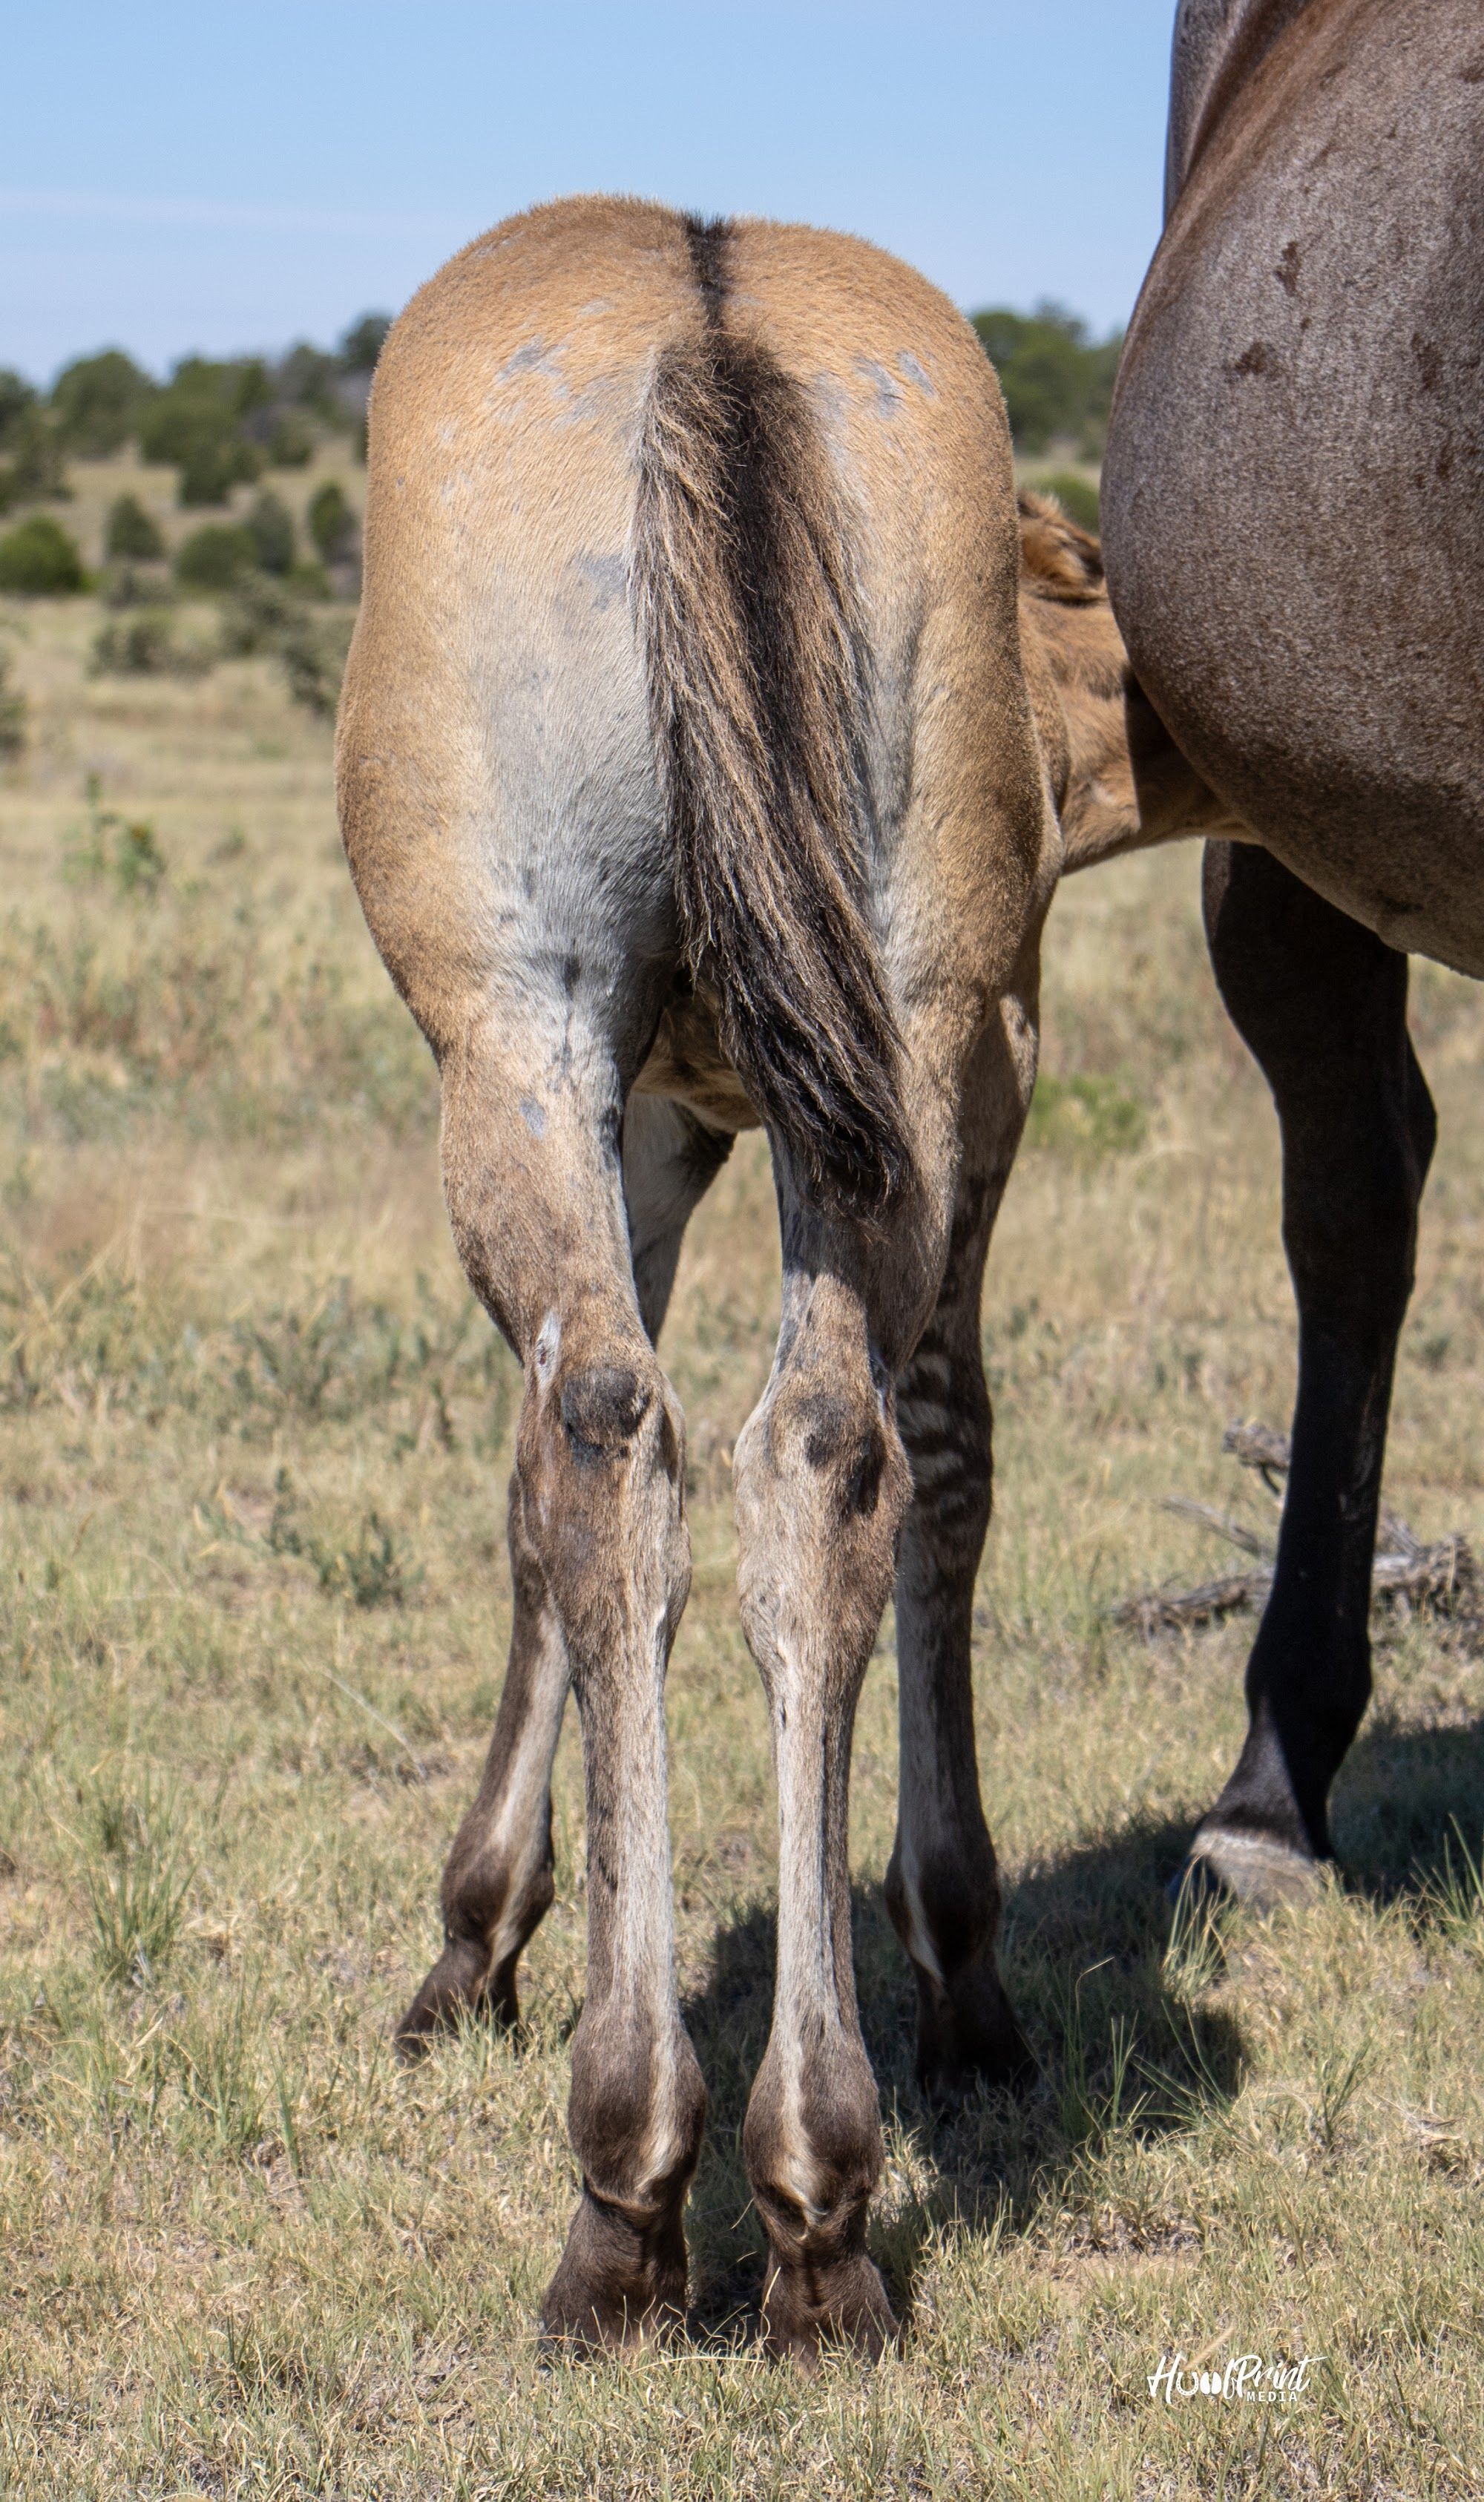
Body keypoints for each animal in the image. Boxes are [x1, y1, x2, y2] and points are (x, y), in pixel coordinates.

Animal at [337, 193, 1178, 2356]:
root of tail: (710, 308)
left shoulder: (648, 1095)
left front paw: (476, 1931)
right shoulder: (795, 1097)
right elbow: (905, 1468)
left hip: (524, 1034)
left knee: (615, 1445)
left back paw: (632, 2190)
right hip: (890, 1036)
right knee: (802, 1455)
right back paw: (811, 2199)